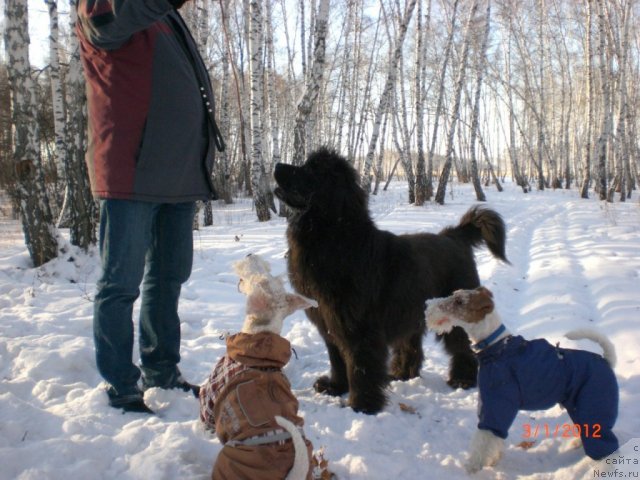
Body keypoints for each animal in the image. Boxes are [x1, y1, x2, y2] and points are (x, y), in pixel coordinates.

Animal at [272, 148, 508, 414]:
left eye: (312, 170)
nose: (277, 165)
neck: (335, 238)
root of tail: (454, 236)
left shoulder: (359, 328)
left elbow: (360, 366)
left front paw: (361, 405)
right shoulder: (328, 322)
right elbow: (337, 359)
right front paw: (334, 386)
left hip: (454, 309)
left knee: (461, 346)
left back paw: (462, 379)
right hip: (411, 310)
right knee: (410, 344)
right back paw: (401, 373)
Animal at [428, 286, 616, 474]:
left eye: (460, 301)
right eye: (455, 294)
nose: (428, 305)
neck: (496, 346)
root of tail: (606, 360)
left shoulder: (495, 405)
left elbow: (483, 441)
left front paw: (472, 468)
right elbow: (495, 440)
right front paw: (493, 460)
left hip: (593, 407)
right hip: (578, 406)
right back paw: (576, 443)